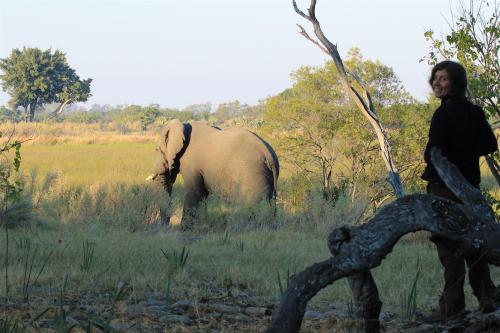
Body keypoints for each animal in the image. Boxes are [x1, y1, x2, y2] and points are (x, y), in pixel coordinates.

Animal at [148, 117, 282, 228]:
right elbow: (202, 194)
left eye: (157, 149)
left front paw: (184, 229)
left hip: (254, 177)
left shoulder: (191, 163)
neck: (182, 126)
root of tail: (270, 156)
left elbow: (195, 192)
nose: (166, 227)